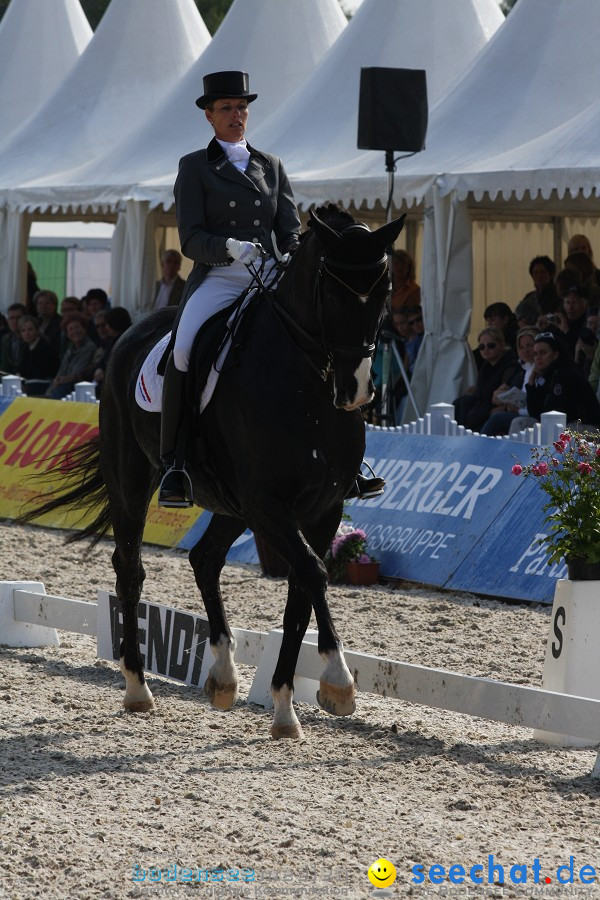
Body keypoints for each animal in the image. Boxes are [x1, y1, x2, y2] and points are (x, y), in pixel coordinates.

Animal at [25, 204, 406, 740]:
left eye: (385, 288)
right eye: (332, 290)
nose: (354, 390)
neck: (306, 386)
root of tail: (129, 335)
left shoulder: (321, 508)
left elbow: (302, 591)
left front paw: (286, 708)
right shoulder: (268, 503)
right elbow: (312, 572)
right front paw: (339, 683)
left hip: (231, 504)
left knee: (204, 559)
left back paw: (223, 675)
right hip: (134, 483)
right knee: (130, 569)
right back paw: (138, 687)